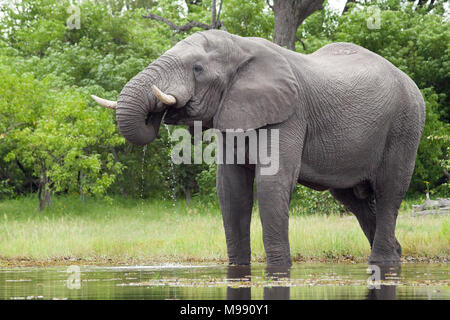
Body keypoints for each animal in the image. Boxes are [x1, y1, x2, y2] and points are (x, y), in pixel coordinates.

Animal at [92, 30, 426, 266]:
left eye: (197, 68)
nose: (158, 111)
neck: (240, 48)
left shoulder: (290, 113)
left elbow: (272, 183)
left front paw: (279, 269)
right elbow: (231, 190)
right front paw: (239, 268)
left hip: (406, 124)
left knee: (389, 192)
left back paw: (382, 262)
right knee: (354, 201)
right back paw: (394, 254)